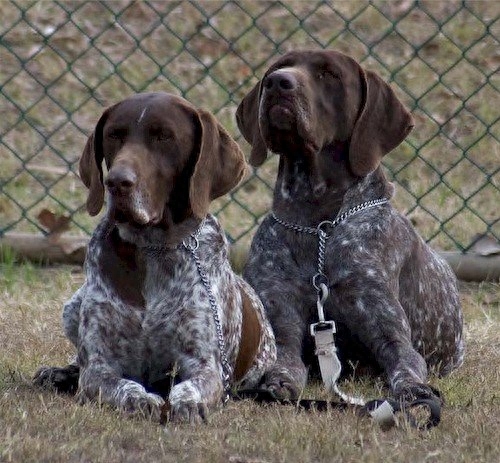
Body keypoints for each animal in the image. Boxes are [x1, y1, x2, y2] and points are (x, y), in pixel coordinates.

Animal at [34, 91, 278, 424]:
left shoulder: (205, 365)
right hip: (72, 306)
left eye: (164, 136)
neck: (152, 248)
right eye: (114, 135)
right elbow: (120, 385)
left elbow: (191, 387)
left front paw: (187, 404)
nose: (117, 182)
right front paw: (139, 399)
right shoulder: (99, 365)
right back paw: (61, 373)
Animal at [236, 49, 462, 412]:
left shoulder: (388, 331)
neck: (317, 226)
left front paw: (414, 391)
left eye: (330, 74)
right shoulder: (281, 323)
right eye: (278, 67)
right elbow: (285, 361)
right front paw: (279, 382)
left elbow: (406, 365)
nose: (278, 82)